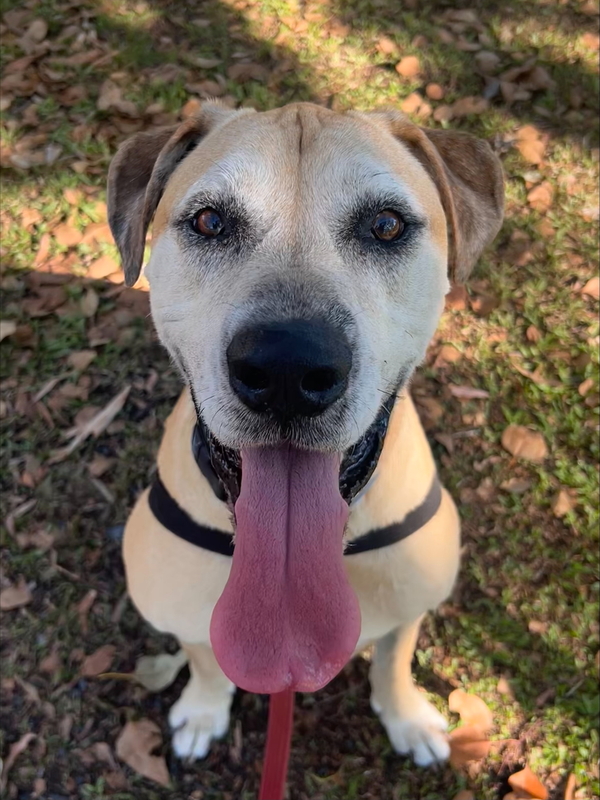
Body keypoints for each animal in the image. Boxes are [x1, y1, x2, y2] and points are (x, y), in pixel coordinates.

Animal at [107, 102, 504, 767]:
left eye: (386, 226)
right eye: (210, 221)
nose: (287, 370)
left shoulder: (411, 600)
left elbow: (394, 658)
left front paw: (406, 717)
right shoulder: (182, 608)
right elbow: (204, 658)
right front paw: (203, 710)